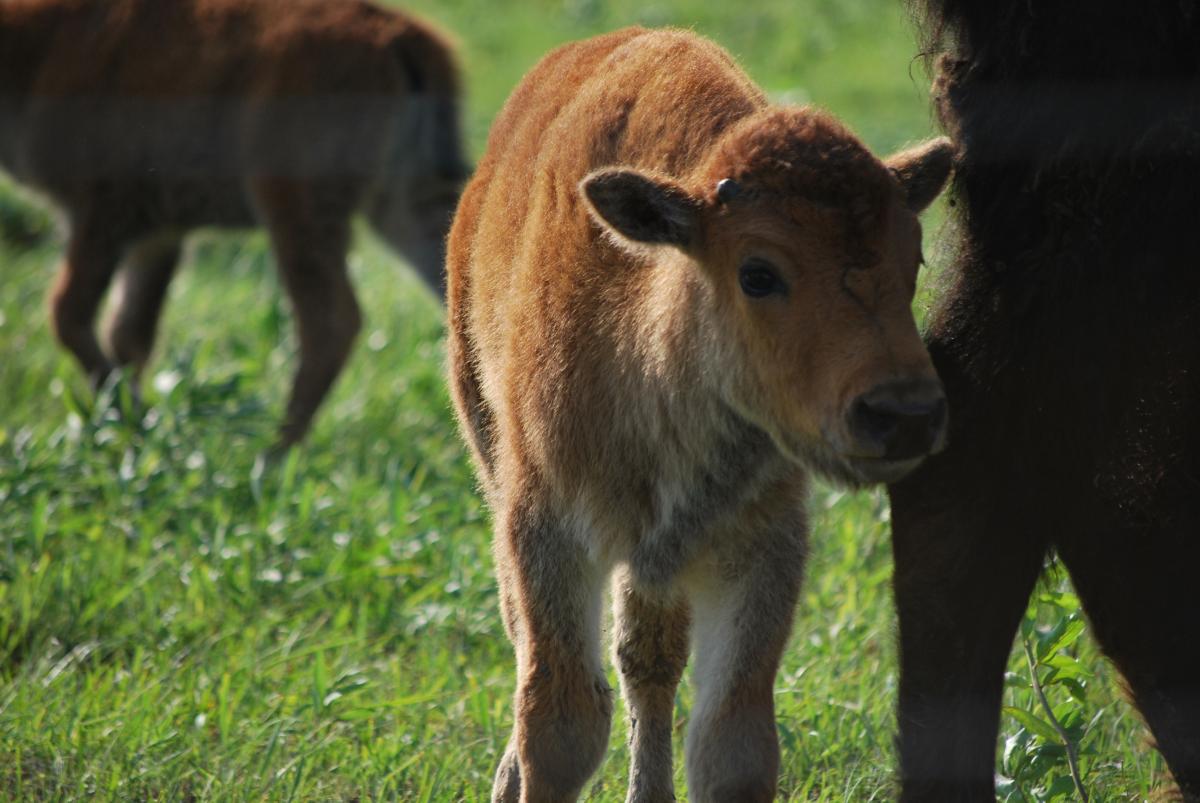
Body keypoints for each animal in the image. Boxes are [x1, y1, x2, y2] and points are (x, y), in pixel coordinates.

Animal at [0, 0, 465, 444]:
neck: (42, 41)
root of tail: (401, 37)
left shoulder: (100, 215)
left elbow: (68, 314)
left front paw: (134, 421)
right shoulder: (158, 234)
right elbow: (129, 333)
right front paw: (133, 436)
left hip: (294, 206)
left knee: (330, 323)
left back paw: (271, 457)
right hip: (407, 204)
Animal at [451, 26, 955, 801]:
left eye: (916, 259)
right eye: (758, 273)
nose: (902, 413)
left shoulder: (757, 545)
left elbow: (732, 739)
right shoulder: (549, 530)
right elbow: (561, 720)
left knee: (648, 663)